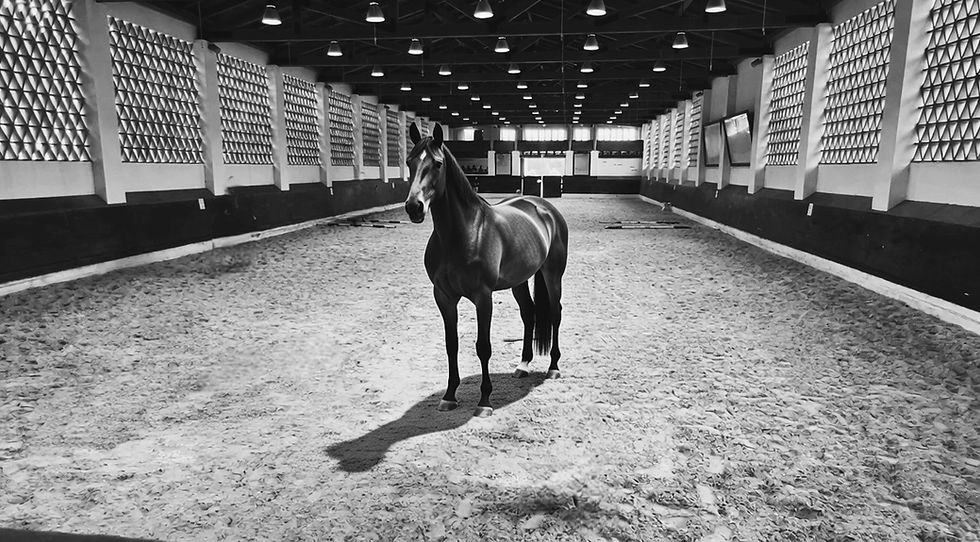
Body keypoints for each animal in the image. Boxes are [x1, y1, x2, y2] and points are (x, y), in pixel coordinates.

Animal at [404, 123, 569, 418]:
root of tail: (545, 208)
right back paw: (523, 365)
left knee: (555, 312)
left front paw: (484, 400)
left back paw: (553, 367)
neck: (464, 233)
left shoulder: (483, 297)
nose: (414, 207)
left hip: (553, 275)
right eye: (409, 161)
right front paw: (449, 395)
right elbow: (451, 344)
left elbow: (483, 347)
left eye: (437, 163)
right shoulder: (443, 297)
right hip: (519, 280)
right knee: (529, 313)